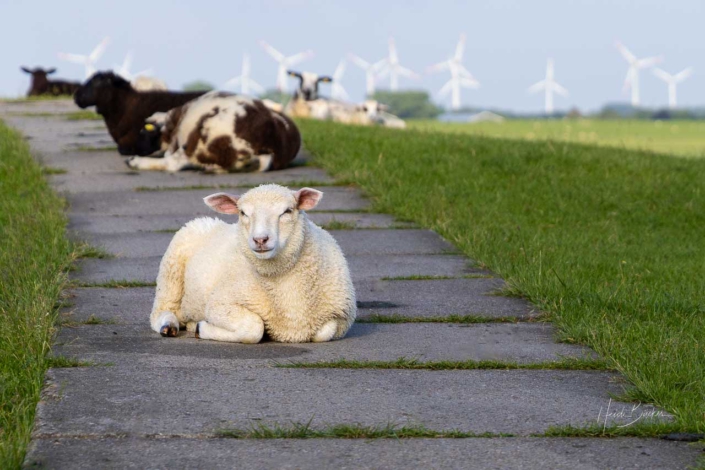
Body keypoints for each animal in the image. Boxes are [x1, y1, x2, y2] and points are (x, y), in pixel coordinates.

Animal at [151, 185, 354, 344]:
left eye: (287, 211)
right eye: (243, 213)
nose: (260, 239)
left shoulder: (341, 316)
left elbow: (324, 332)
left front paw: (199, 327)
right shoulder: (219, 304)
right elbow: (254, 328)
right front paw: (202, 329)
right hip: (171, 273)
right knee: (162, 311)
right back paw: (169, 326)